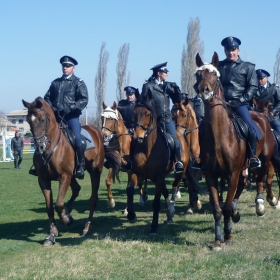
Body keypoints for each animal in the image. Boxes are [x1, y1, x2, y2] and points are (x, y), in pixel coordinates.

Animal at [22, 97, 105, 246]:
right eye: (28, 120)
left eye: (42, 119)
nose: (39, 147)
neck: (51, 147)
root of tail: (95, 130)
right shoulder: (43, 180)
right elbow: (49, 207)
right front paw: (51, 235)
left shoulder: (64, 176)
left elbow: (59, 205)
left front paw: (67, 220)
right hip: (73, 176)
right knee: (77, 188)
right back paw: (69, 210)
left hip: (95, 172)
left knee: (93, 199)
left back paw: (86, 227)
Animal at [126, 89, 185, 234]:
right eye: (134, 112)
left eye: (148, 113)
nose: (137, 137)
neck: (148, 148)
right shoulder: (137, 173)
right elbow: (130, 190)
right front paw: (131, 215)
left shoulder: (158, 177)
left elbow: (156, 202)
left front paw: (153, 226)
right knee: (166, 191)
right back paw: (169, 214)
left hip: (179, 172)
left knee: (173, 187)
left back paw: (171, 211)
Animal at [195, 52, 276, 252]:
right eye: (198, 74)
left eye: (214, 75)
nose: (204, 90)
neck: (220, 135)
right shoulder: (211, 175)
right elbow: (218, 208)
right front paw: (218, 239)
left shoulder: (232, 173)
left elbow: (225, 206)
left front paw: (228, 235)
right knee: (241, 188)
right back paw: (236, 212)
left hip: (262, 161)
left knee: (262, 180)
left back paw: (261, 205)